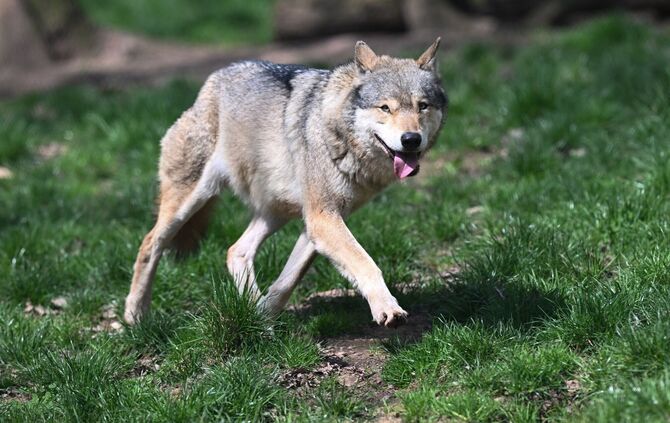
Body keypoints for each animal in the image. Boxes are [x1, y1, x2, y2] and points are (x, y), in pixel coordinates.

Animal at [124, 39, 447, 328]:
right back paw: (135, 316)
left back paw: (251, 309)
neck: (338, 134)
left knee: (236, 250)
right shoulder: (323, 219)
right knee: (150, 244)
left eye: (422, 106)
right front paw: (387, 308)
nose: (411, 139)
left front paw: (263, 319)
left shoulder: (317, 224)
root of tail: (212, 81)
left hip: (277, 212)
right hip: (189, 203)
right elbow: (366, 263)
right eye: (385, 108)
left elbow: (287, 282)